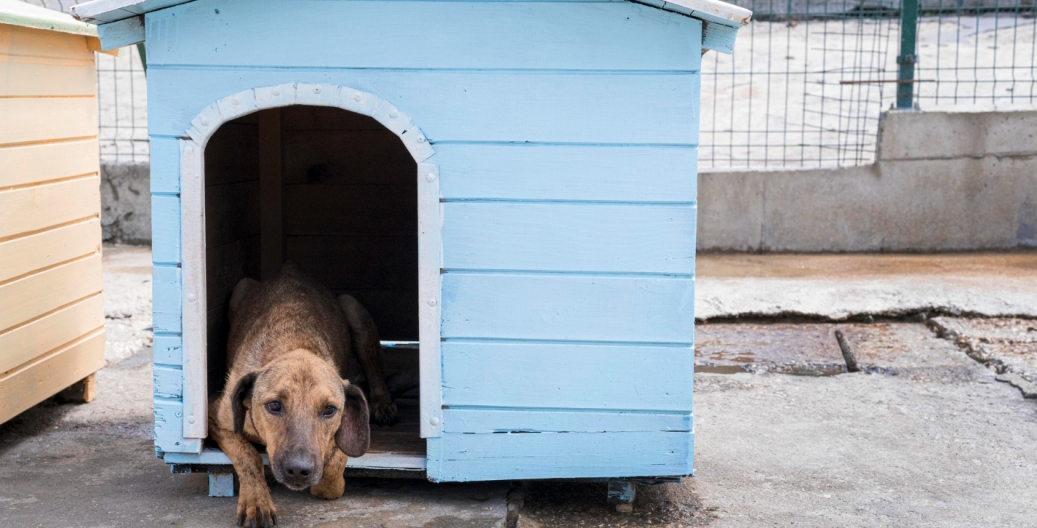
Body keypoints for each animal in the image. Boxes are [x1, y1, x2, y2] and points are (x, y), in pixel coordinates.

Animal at [210, 265, 400, 524]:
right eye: (274, 405)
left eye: (329, 410)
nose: (299, 471)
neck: (293, 345)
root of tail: (290, 269)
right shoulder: (218, 420)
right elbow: (248, 455)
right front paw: (256, 502)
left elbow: (331, 474)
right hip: (241, 288)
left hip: (353, 308)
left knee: (375, 369)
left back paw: (382, 403)